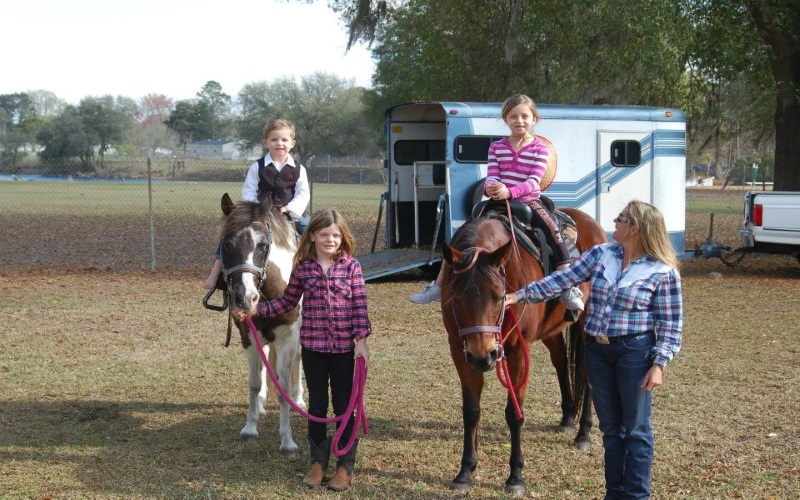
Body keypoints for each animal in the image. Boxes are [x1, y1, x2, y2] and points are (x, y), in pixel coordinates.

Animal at [214, 193, 304, 458]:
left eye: (263, 245)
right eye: (227, 244)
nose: (246, 297)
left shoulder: (289, 338)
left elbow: (283, 388)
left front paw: (287, 442)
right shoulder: (248, 335)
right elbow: (253, 383)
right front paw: (250, 428)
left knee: (299, 359)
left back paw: (299, 399)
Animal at [444, 205, 608, 494]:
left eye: (499, 296)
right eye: (457, 296)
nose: (484, 355)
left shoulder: (519, 352)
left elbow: (514, 413)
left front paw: (515, 476)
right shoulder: (460, 351)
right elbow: (471, 411)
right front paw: (465, 472)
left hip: (588, 323)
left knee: (587, 373)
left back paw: (584, 433)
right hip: (550, 331)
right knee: (561, 361)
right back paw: (567, 419)